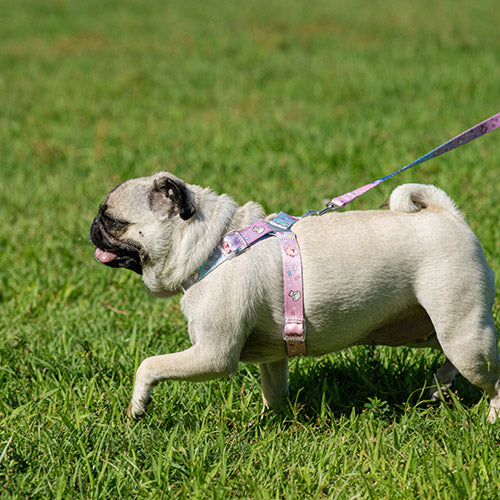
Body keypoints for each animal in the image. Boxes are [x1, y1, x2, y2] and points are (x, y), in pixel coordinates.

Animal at [89, 172, 500, 422]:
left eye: (112, 221)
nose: (92, 227)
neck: (213, 245)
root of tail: (448, 215)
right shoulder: (272, 357)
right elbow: (274, 392)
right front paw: (270, 424)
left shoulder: (213, 354)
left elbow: (149, 365)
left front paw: (138, 405)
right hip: (421, 329)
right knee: (446, 353)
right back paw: (439, 385)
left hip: (462, 335)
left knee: (492, 379)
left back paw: (491, 418)